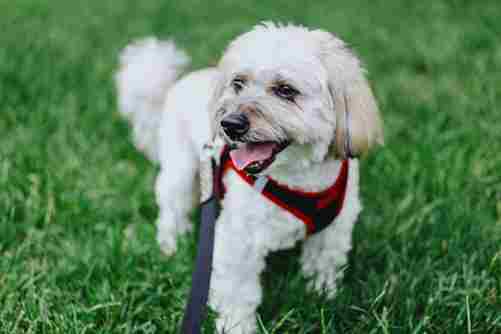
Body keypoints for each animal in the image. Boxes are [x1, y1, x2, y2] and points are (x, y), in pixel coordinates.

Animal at [116, 22, 382, 332]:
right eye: (238, 83)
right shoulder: (237, 240)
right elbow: (238, 293)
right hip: (180, 172)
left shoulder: (332, 230)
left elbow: (323, 266)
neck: (298, 180)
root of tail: (180, 82)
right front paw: (237, 327)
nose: (229, 124)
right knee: (172, 210)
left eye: (286, 90)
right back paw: (172, 246)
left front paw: (323, 298)